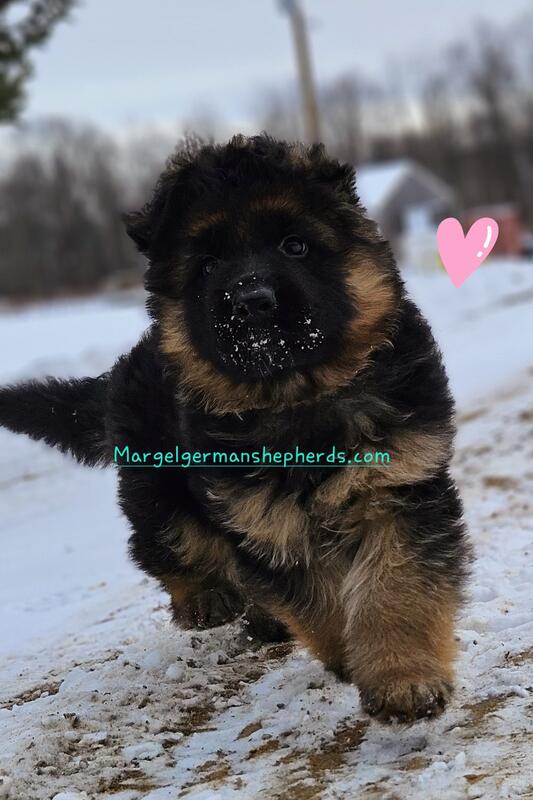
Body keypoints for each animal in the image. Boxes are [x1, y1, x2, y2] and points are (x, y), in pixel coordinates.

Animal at [0, 134, 470, 722]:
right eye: (208, 265)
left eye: (295, 246)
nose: (252, 301)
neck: (296, 397)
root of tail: (119, 373)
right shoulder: (261, 517)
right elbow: (317, 598)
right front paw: (347, 655)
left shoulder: (400, 487)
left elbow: (396, 584)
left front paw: (402, 677)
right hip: (158, 492)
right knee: (164, 546)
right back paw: (205, 600)